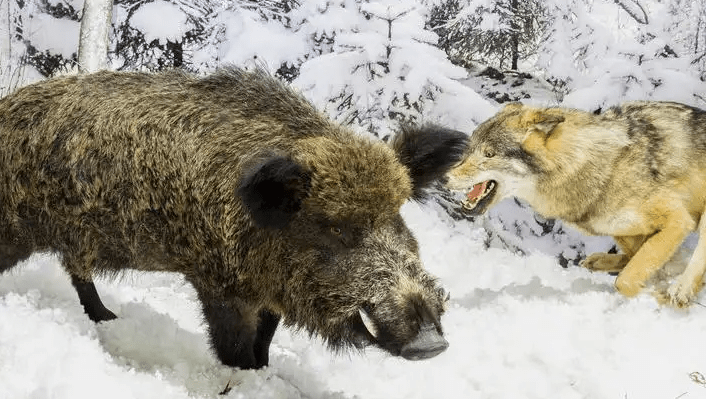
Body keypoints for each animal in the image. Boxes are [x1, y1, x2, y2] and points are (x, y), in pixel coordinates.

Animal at [0, 67, 468, 370]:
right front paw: (243, 377)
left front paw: (263, 370)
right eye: (335, 226)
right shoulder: (217, 284)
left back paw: (108, 319)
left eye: (396, 215)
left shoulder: (268, 291)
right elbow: (235, 348)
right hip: (14, 227)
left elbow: (265, 339)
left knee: (78, 273)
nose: (432, 343)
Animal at [448, 101, 704, 308]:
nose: (444, 177)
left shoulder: (678, 220)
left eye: (489, 154)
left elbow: (626, 280)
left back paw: (679, 293)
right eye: (470, 149)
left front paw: (652, 296)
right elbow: (642, 259)